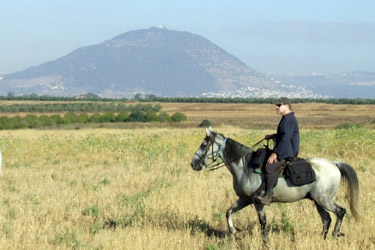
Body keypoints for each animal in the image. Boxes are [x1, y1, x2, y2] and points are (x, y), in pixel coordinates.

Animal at [191, 128, 362, 241]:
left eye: (204, 144)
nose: (193, 164)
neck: (245, 166)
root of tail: (334, 164)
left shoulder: (258, 202)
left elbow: (263, 222)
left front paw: (265, 241)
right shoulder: (245, 199)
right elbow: (228, 212)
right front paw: (235, 231)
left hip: (324, 199)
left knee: (340, 212)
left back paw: (336, 234)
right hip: (318, 201)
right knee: (326, 220)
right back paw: (323, 239)